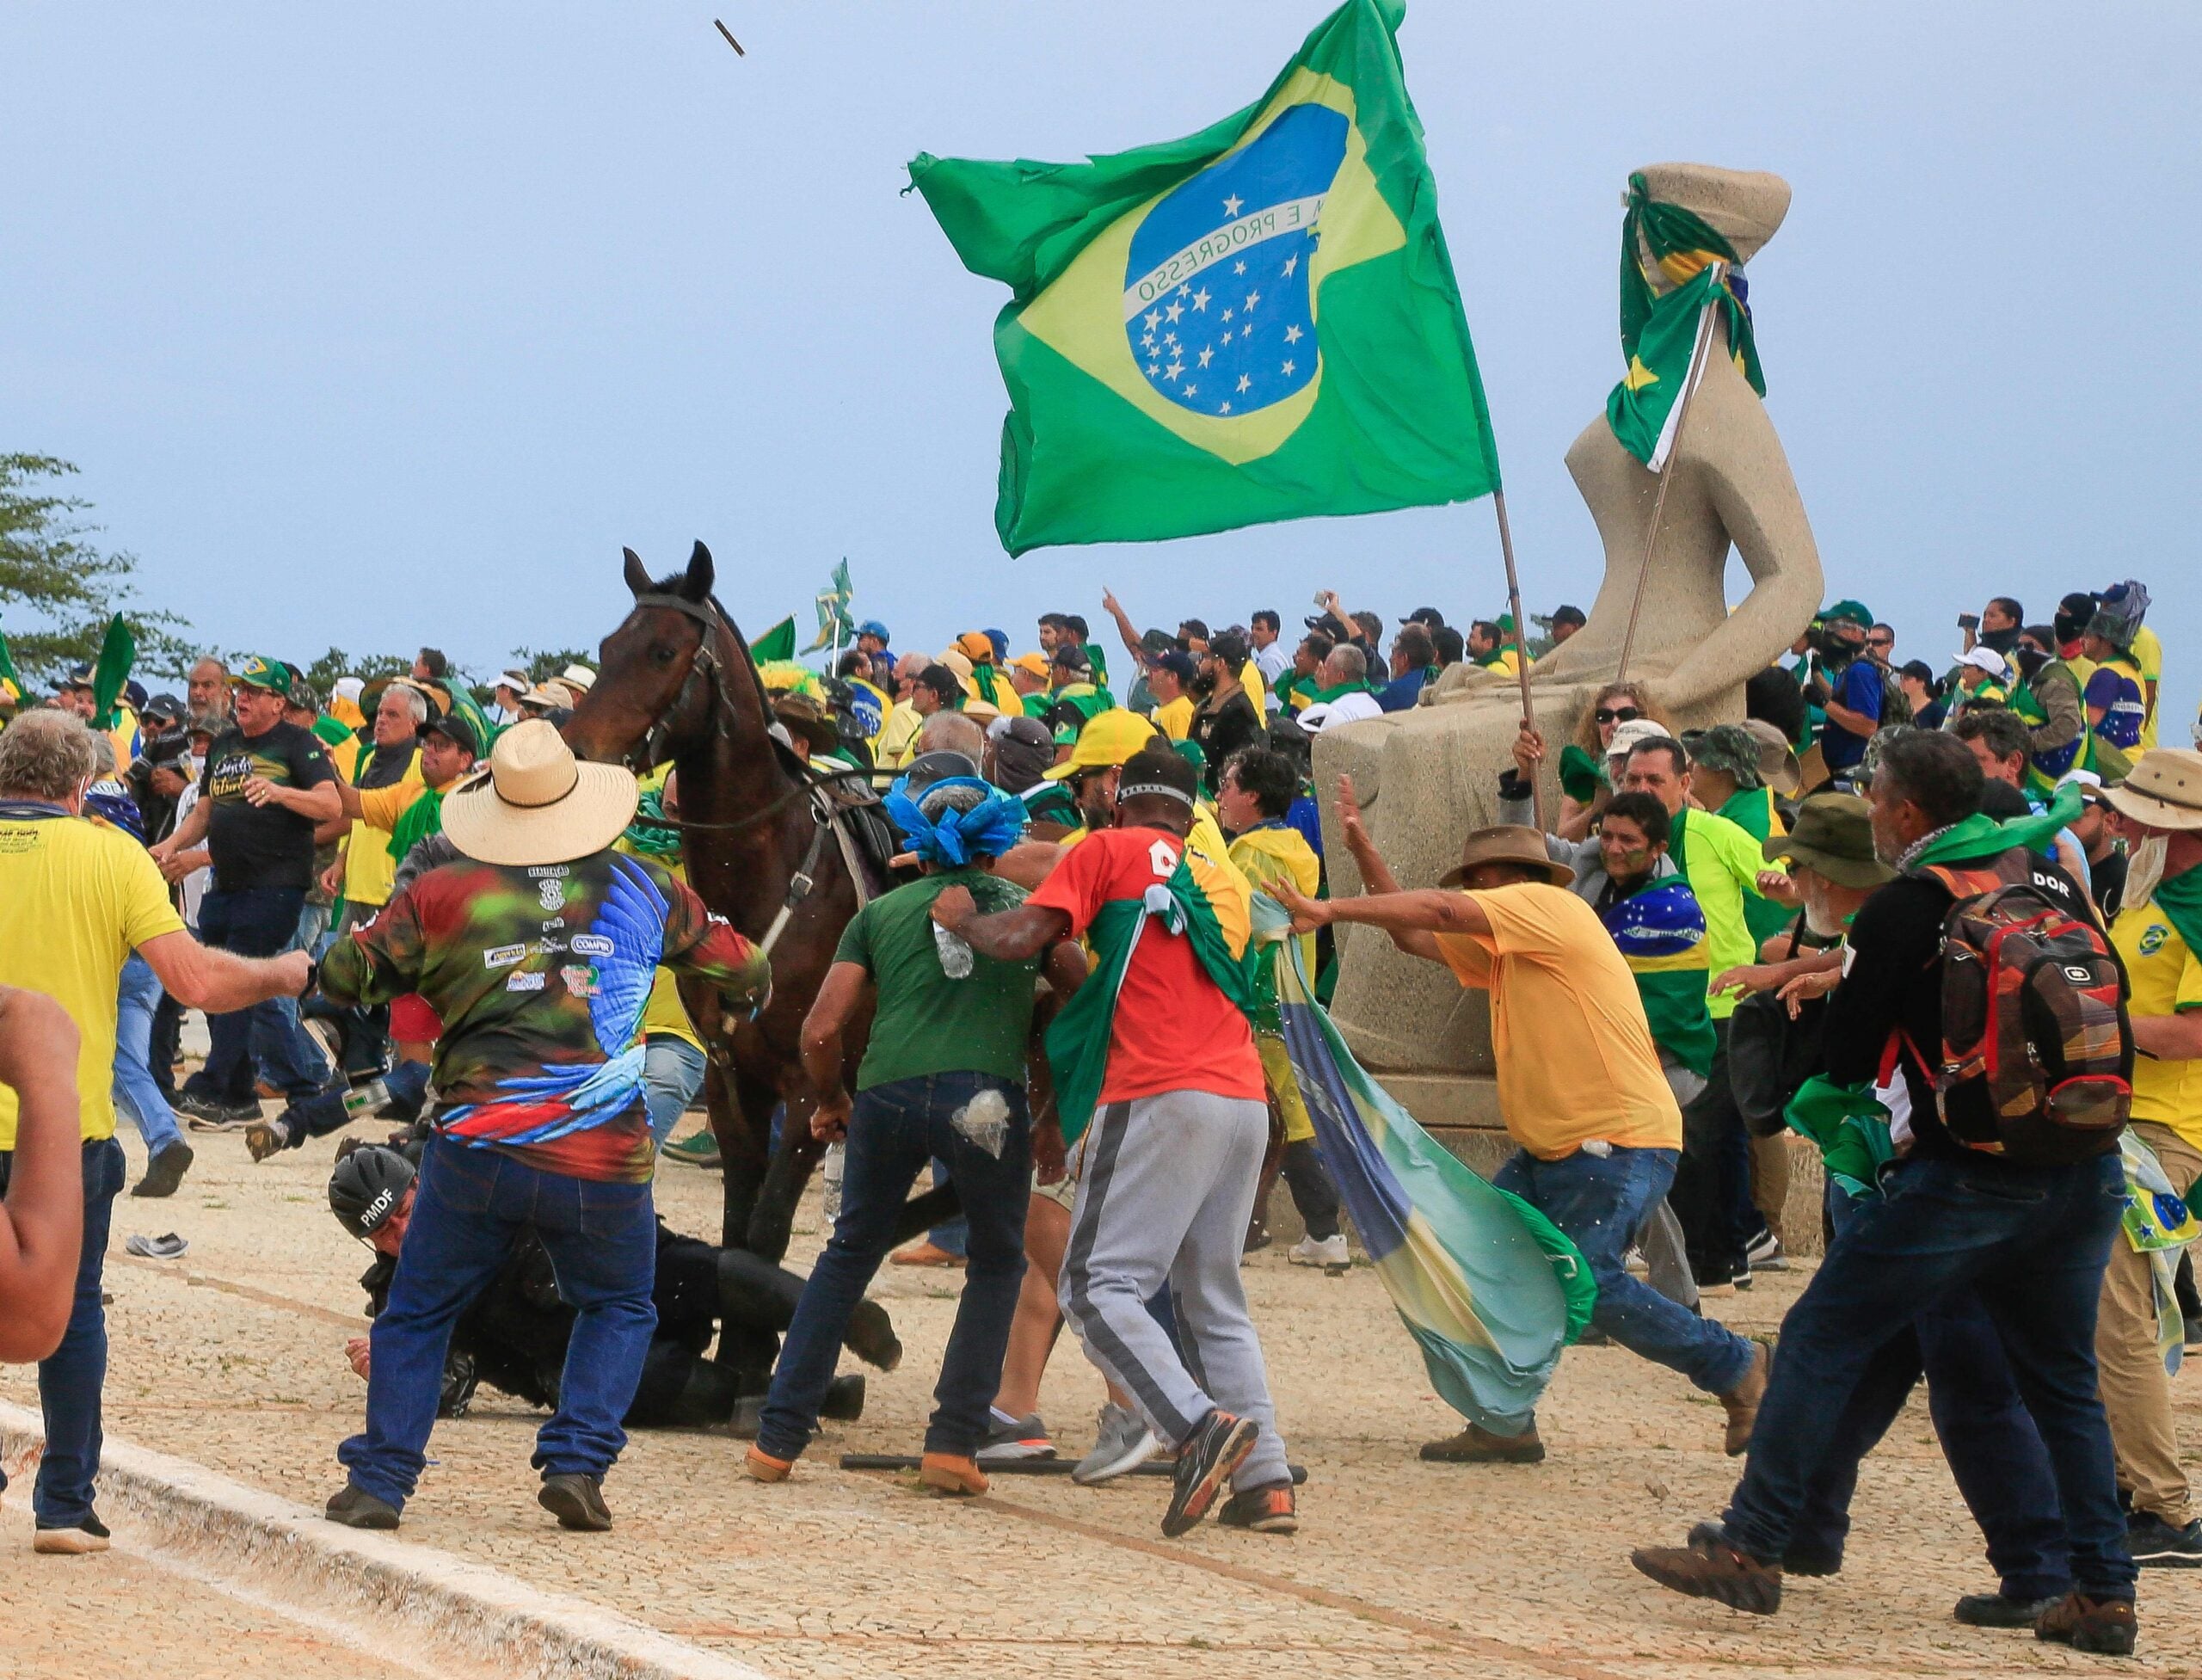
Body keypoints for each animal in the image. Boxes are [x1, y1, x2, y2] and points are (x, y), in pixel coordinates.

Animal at [576, 541, 902, 1259]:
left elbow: (762, 1238)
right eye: (608, 647)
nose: (577, 751)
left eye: (663, 651)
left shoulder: (811, 1097)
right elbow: (735, 1238)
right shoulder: (733, 1089)